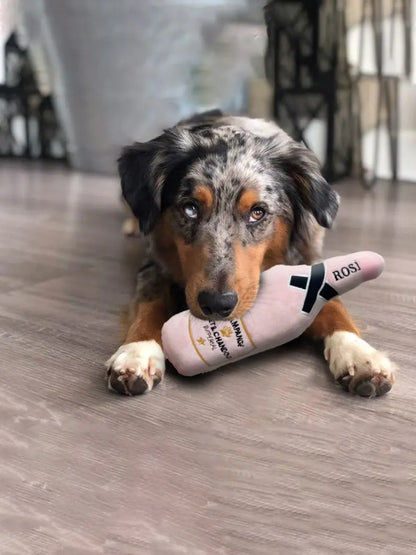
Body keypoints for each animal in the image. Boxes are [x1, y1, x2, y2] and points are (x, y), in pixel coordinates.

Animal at [105, 111, 394, 398]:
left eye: (258, 212)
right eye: (190, 209)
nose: (217, 304)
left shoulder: (309, 260)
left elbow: (333, 305)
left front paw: (358, 352)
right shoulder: (154, 264)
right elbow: (150, 303)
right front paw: (138, 350)